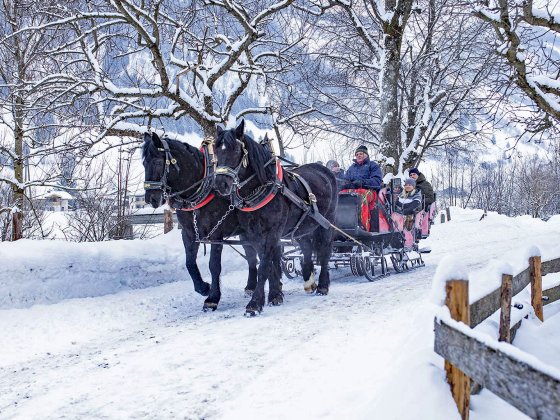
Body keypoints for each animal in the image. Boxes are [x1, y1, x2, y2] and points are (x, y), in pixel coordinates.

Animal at [143, 132, 260, 312]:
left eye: (157, 162)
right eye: (143, 163)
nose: (150, 199)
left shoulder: (216, 234)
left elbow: (214, 265)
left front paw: (212, 298)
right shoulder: (189, 233)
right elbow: (190, 263)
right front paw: (203, 288)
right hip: (245, 232)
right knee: (252, 256)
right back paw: (251, 286)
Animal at [214, 121, 336, 316]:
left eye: (235, 150)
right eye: (216, 150)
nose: (220, 184)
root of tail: (325, 170)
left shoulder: (272, 232)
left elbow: (264, 265)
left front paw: (255, 303)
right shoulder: (253, 235)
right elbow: (269, 263)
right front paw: (275, 295)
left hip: (326, 223)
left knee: (325, 250)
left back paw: (323, 286)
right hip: (302, 227)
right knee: (307, 248)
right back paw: (309, 281)